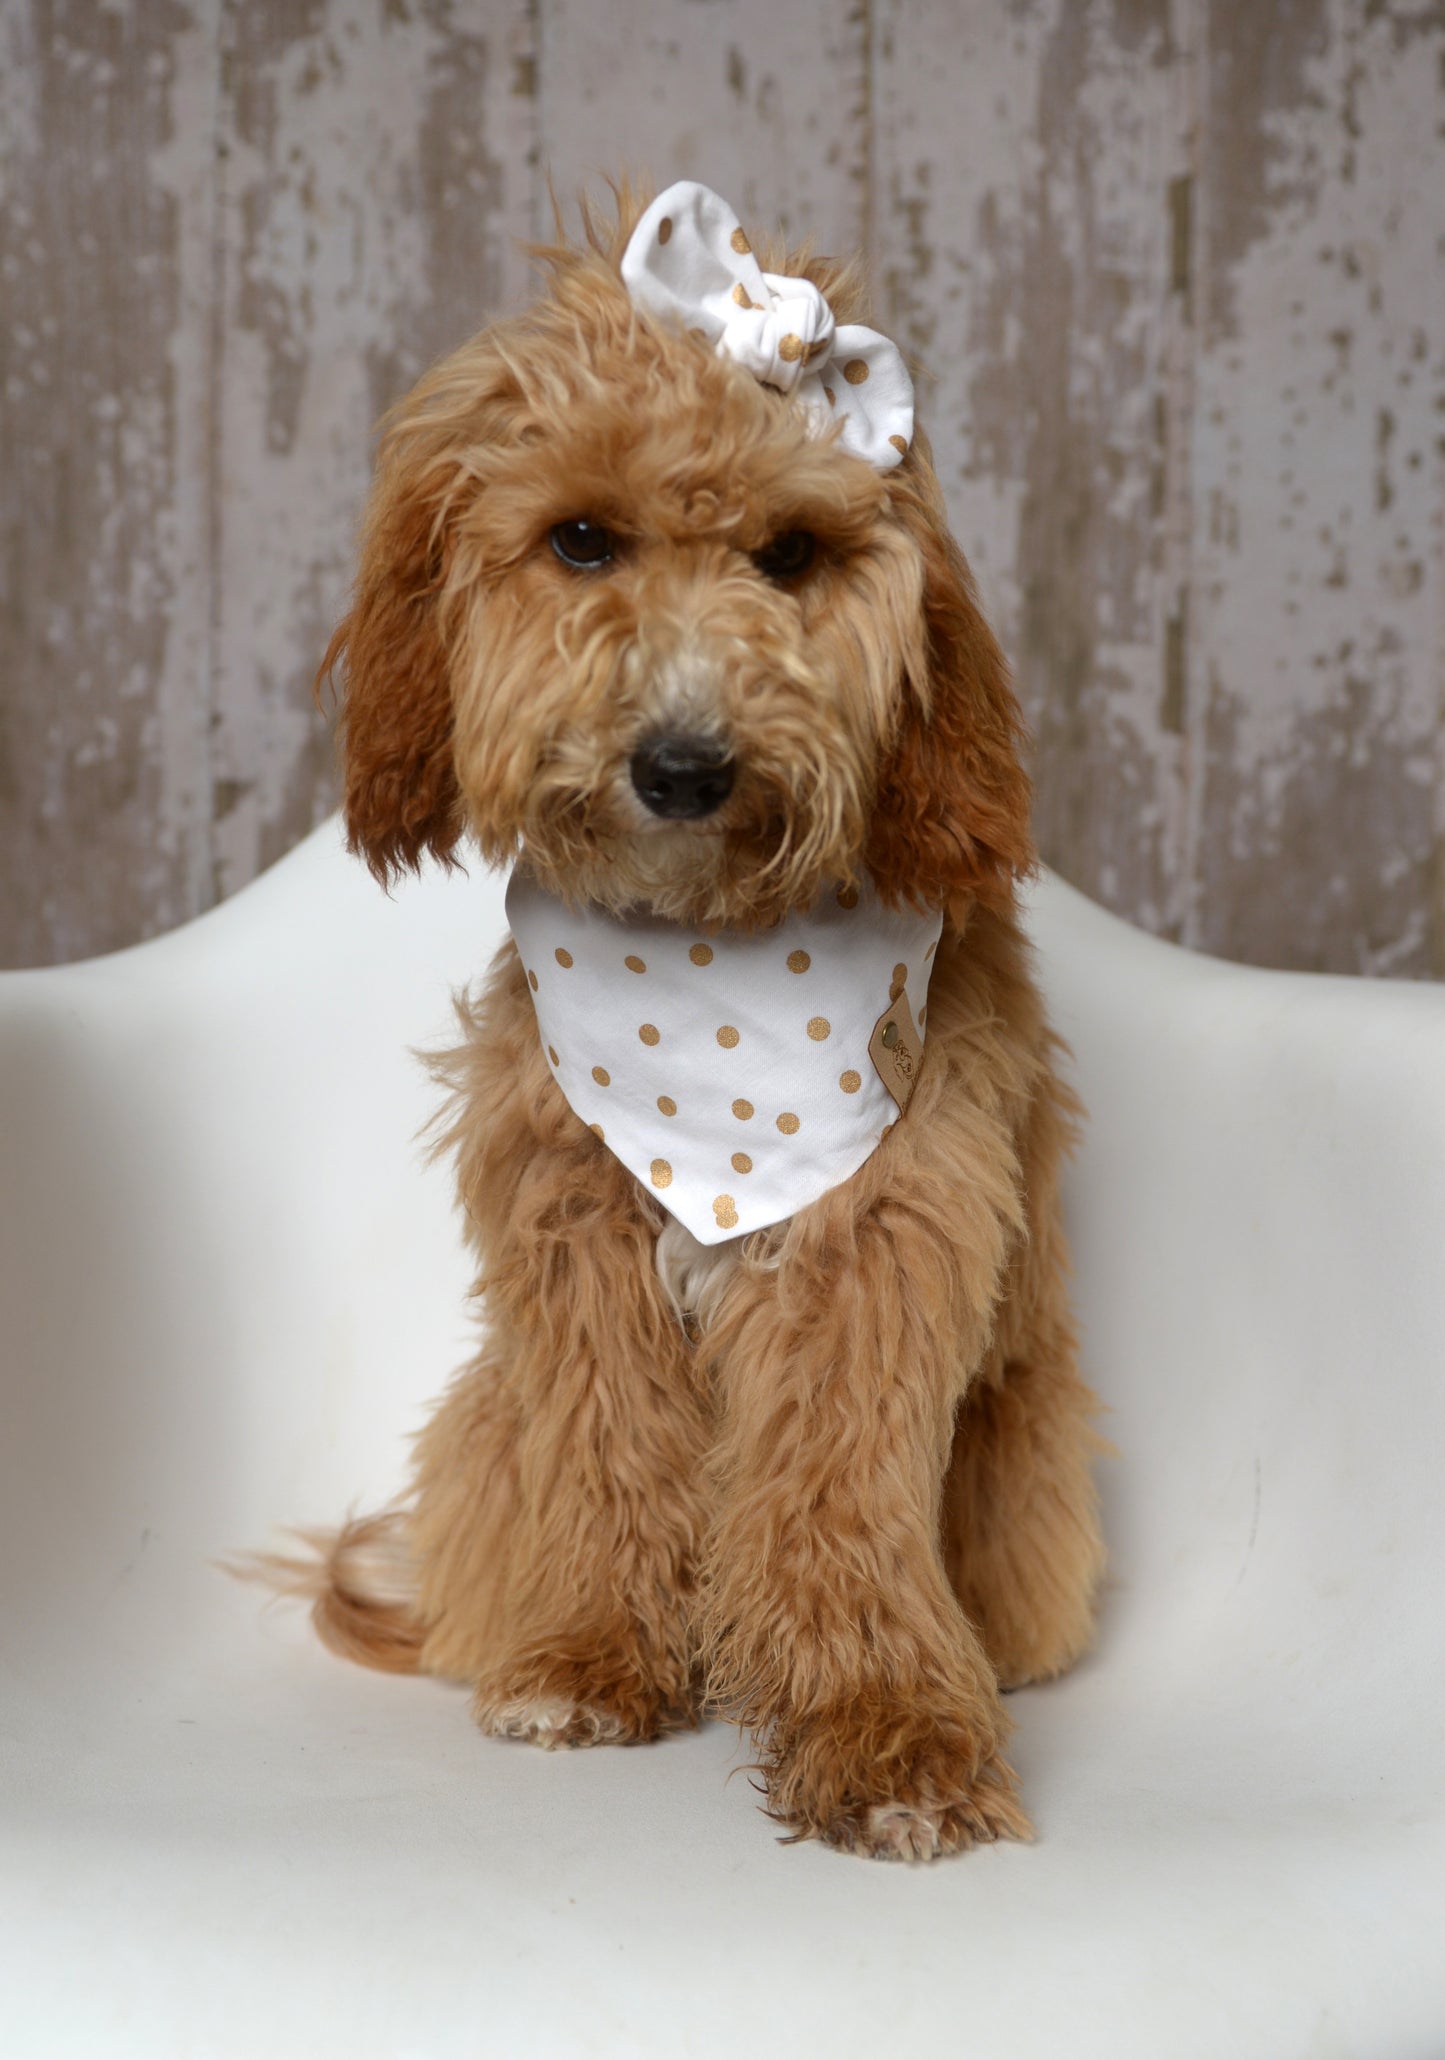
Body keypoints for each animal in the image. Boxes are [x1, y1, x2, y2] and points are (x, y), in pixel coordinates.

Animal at [274, 181, 1104, 1870]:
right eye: (582, 540)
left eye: (790, 554)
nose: (683, 765)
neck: (713, 985)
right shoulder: (572, 1222)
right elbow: (606, 1452)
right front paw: (590, 1658)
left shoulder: (881, 1237)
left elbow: (841, 1499)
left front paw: (893, 1736)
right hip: (484, 1421)